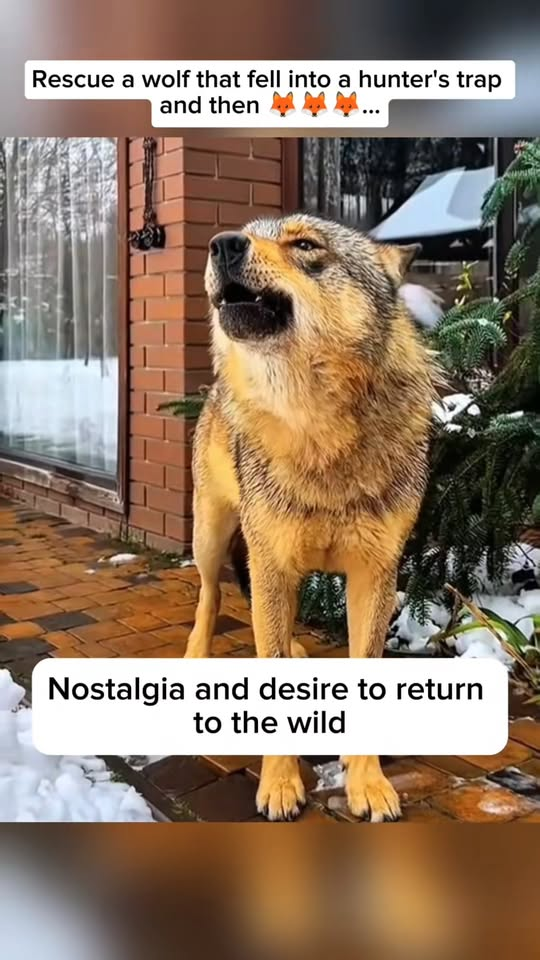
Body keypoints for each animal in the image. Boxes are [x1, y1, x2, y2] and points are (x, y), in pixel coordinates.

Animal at [184, 213, 436, 821]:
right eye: (249, 234)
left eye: (304, 245)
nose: (222, 244)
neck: (316, 429)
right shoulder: (272, 564)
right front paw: (280, 784)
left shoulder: (374, 575)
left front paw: (367, 783)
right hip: (213, 536)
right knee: (210, 595)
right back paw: (197, 653)